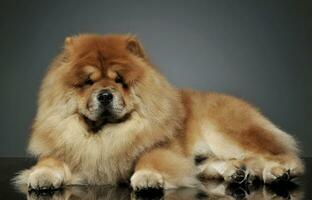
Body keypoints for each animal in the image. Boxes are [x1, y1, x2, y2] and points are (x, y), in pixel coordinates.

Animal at [14, 34, 302, 191]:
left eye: (119, 81)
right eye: (88, 82)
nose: (105, 94)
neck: (105, 136)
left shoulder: (161, 149)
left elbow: (149, 159)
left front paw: (147, 178)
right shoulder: (66, 148)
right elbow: (50, 161)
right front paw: (41, 176)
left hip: (227, 134)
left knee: (280, 157)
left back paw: (276, 173)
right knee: (219, 163)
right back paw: (237, 173)